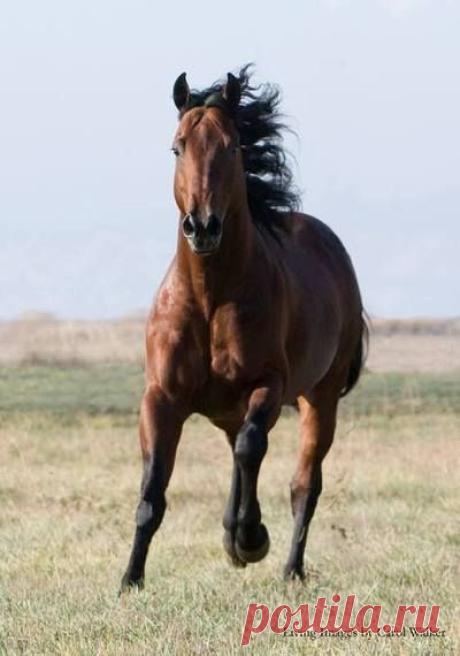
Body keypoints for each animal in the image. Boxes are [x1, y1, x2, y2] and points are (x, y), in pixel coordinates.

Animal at [121, 66, 367, 592]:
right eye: (177, 147)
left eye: (232, 146)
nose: (202, 227)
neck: (210, 299)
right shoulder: (161, 398)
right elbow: (152, 490)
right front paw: (130, 580)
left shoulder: (267, 385)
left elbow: (254, 448)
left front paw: (251, 538)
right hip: (229, 407)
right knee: (239, 454)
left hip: (320, 398)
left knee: (301, 483)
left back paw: (286, 565)